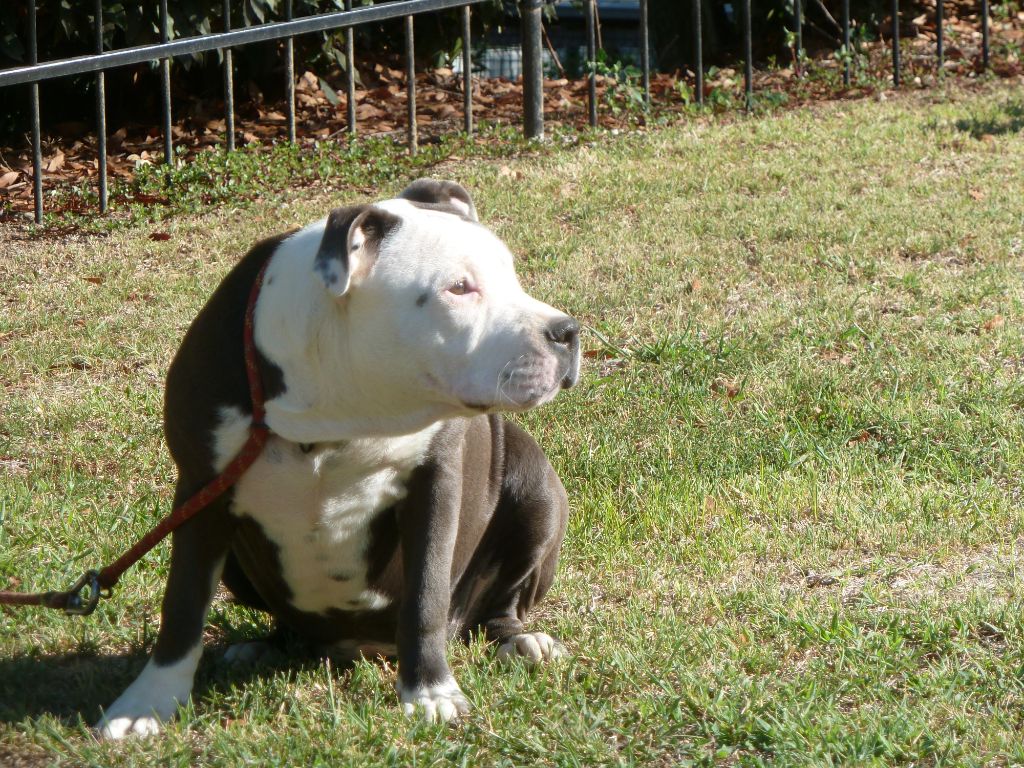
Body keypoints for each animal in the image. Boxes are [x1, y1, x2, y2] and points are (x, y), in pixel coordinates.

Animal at [97, 180, 580, 738]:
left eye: (511, 275)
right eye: (459, 288)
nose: (568, 331)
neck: (337, 409)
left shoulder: (436, 485)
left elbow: (426, 597)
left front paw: (430, 692)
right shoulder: (202, 492)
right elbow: (182, 604)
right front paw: (147, 702)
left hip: (536, 490)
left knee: (499, 603)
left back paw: (520, 639)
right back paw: (261, 648)